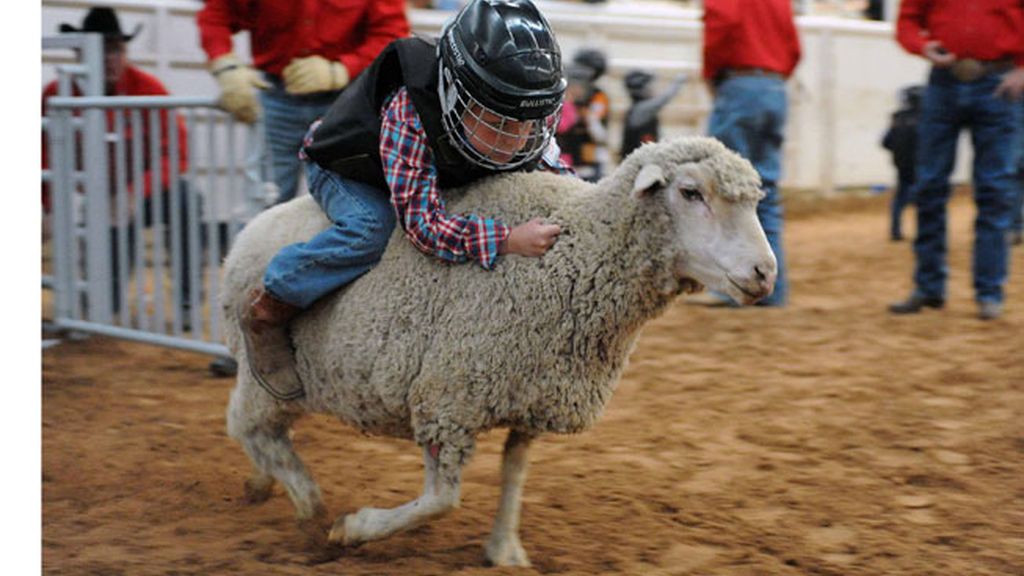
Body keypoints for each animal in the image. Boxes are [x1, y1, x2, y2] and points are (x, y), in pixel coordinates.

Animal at [220, 136, 776, 566]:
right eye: (690, 192)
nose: (765, 273)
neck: (575, 253)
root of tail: (250, 229)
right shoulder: (446, 398)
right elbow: (441, 500)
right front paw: (356, 527)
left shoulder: (531, 394)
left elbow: (514, 474)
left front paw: (504, 549)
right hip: (264, 374)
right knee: (249, 427)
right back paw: (308, 508)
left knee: (269, 436)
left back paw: (262, 483)